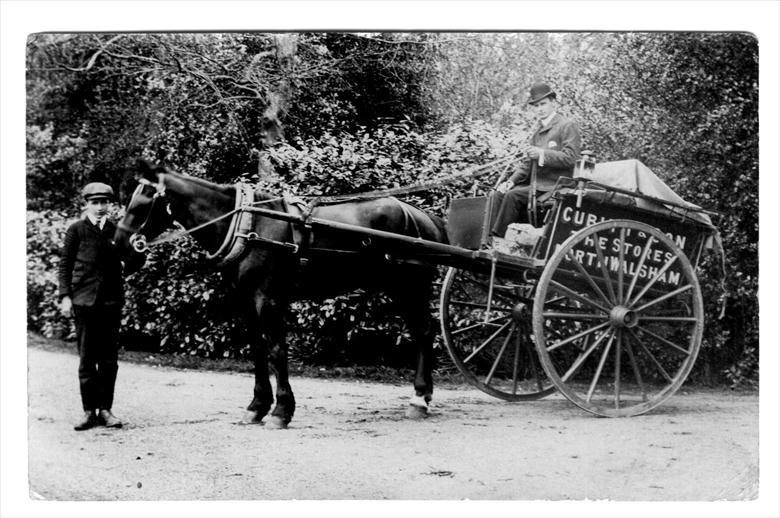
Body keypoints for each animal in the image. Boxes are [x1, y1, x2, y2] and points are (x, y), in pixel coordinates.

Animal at [112, 162, 448, 430]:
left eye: (142, 204)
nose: (121, 249)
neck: (247, 225)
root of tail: (421, 215)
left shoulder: (267, 300)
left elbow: (276, 351)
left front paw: (281, 411)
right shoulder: (245, 302)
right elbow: (258, 352)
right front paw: (257, 407)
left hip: (409, 287)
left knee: (424, 331)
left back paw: (419, 399)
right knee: (423, 332)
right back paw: (424, 394)